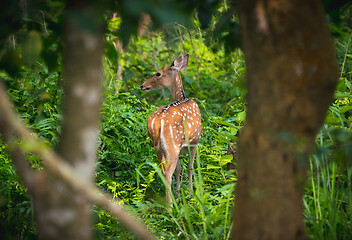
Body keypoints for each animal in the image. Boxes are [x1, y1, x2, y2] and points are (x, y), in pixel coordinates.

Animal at [140, 53, 201, 203]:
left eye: (158, 73)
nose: (142, 85)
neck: (182, 97)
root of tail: (156, 123)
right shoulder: (194, 142)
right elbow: (190, 167)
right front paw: (190, 193)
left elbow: (179, 168)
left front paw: (179, 195)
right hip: (172, 145)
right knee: (168, 172)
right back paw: (170, 205)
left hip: (158, 147)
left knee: (162, 170)